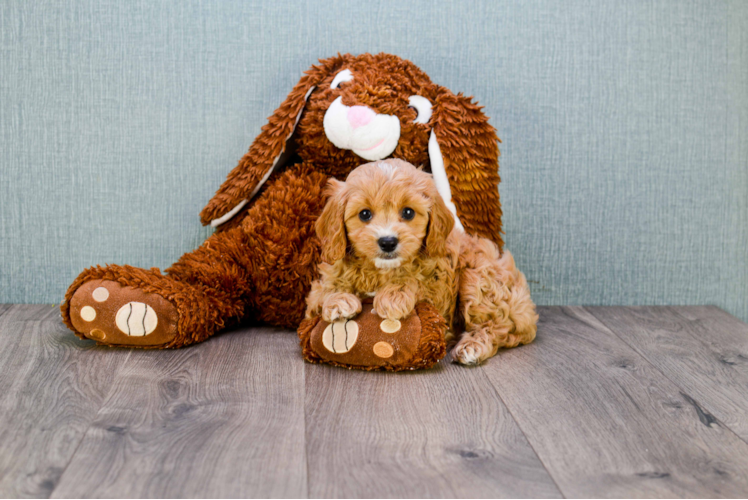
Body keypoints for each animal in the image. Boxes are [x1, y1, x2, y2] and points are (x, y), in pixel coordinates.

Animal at [304, 159, 536, 364]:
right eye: (364, 214)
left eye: (408, 212)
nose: (388, 242)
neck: (381, 271)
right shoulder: (315, 296)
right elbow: (323, 293)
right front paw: (339, 300)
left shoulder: (438, 286)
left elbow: (416, 281)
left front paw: (393, 296)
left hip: (479, 277)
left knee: (494, 326)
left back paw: (471, 347)